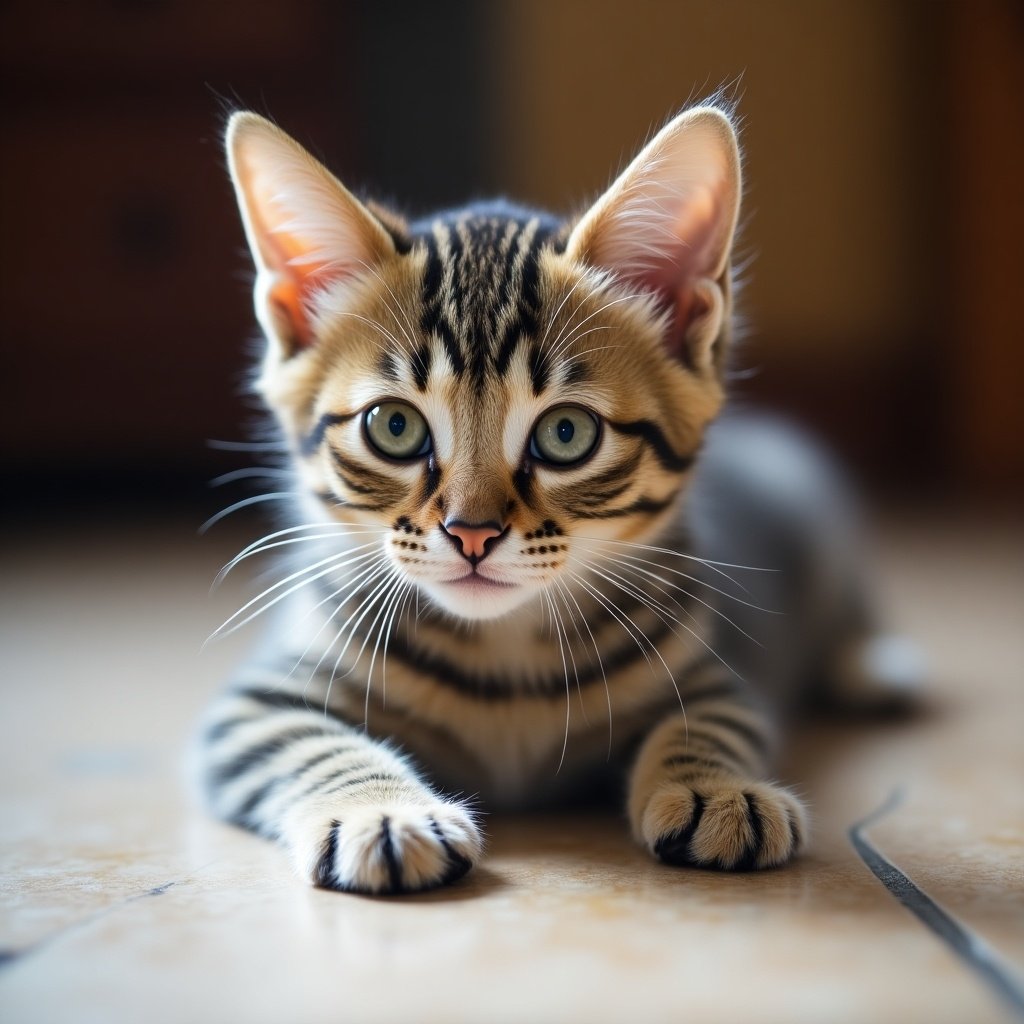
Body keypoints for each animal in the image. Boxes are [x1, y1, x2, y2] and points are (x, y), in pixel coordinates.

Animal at [199, 99, 913, 892]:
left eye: (566, 433)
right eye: (394, 426)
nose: (471, 533)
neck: (505, 658)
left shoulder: (716, 676)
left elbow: (711, 723)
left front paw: (718, 789)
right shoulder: (256, 703)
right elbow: (311, 742)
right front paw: (381, 812)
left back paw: (874, 667)